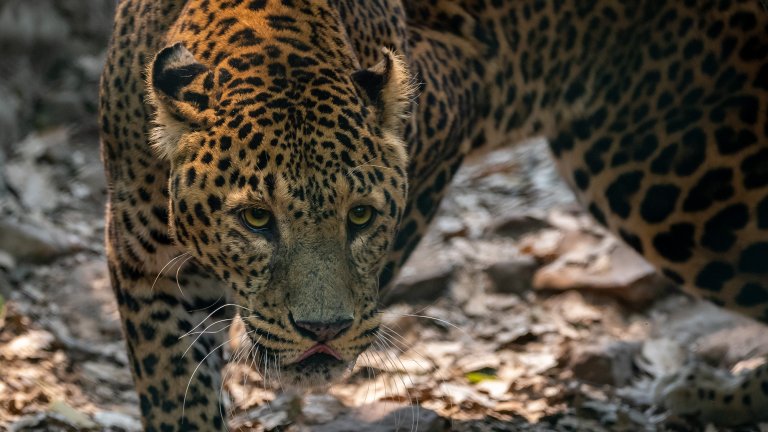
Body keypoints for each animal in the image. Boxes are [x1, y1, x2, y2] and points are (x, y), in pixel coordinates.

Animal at [98, 0, 768, 429]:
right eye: (258, 220)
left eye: (361, 217)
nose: (323, 331)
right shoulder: (141, 258)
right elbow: (173, 392)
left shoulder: (459, 91)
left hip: (673, 183)